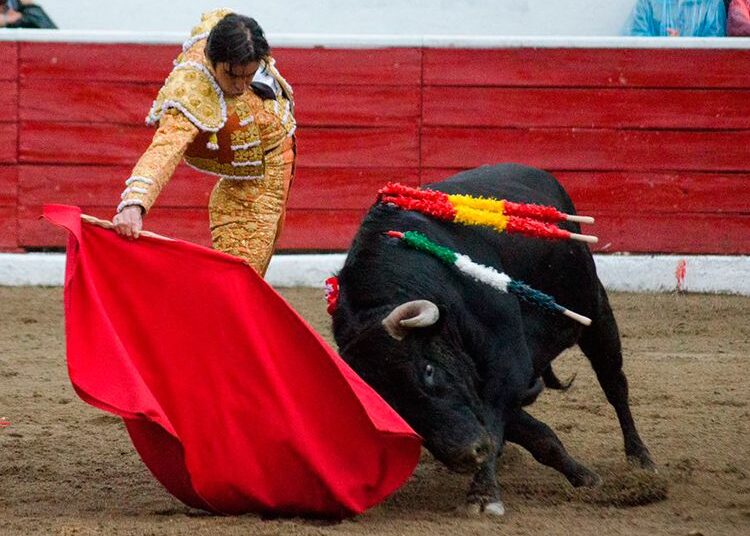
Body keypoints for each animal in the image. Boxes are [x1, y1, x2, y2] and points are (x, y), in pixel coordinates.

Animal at [332, 163, 656, 516]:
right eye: (389, 406)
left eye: (428, 370)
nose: (464, 455)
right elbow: (538, 437)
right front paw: (584, 477)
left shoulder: (508, 368)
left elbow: (494, 423)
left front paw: (483, 495)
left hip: (597, 312)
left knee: (615, 385)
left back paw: (640, 458)